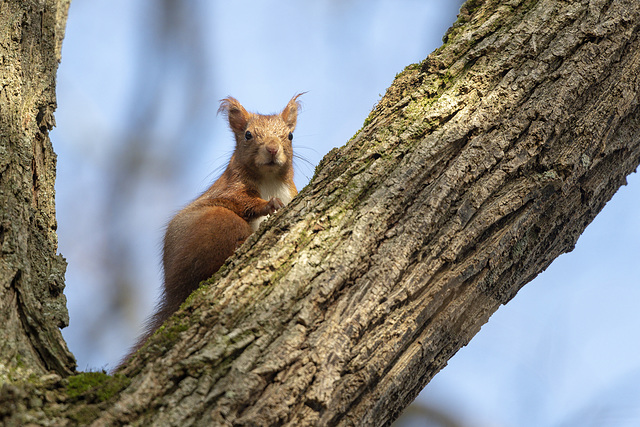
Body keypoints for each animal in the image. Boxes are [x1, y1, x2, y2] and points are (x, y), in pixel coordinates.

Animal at [119, 94, 300, 368]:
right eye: (248, 135)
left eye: (289, 136)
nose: (272, 149)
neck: (269, 180)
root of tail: (173, 292)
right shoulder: (229, 189)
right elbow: (242, 202)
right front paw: (268, 205)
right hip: (221, 222)